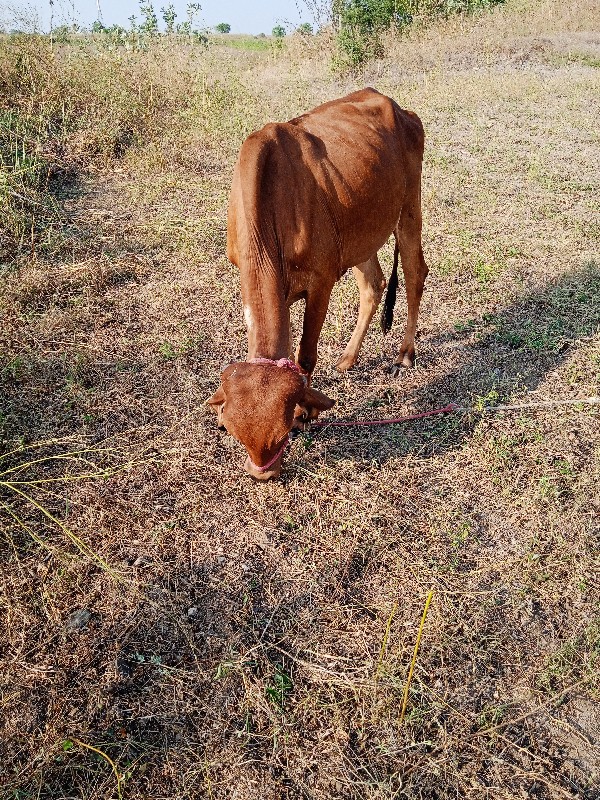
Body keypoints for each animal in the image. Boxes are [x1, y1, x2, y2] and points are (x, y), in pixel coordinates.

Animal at [209, 86, 428, 482]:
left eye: (281, 433)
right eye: (233, 432)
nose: (263, 475)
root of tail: (400, 109)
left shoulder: (321, 282)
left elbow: (305, 355)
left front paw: (306, 412)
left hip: (408, 207)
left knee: (416, 272)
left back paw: (405, 353)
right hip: (360, 236)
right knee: (373, 285)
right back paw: (348, 358)